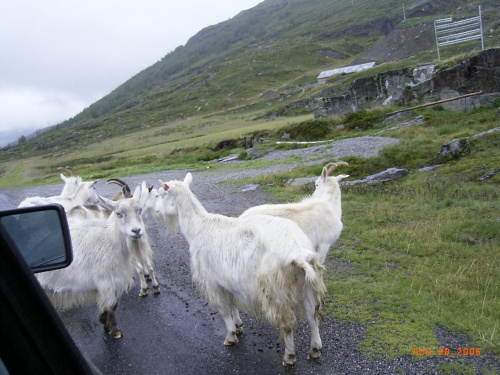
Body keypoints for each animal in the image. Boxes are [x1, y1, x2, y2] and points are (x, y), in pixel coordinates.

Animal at [36, 189, 146, 340]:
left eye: (140, 210)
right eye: (119, 214)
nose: (136, 230)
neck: (110, 242)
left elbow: (110, 305)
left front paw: (104, 322)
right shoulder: (106, 281)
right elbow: (112, 305)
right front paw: (114, 330)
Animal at [158, 173, 326, 368]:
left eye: (159, 194)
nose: (156, 212)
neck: (199, 228)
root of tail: (298, 253)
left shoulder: (211, 282)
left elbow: (223, 310)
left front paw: (230, 336)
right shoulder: (227, 280)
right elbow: (233, 303)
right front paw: (238, 326)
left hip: (277, 291)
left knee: (288, 323)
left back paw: (289, 356)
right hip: (307, 286)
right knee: (312, 316)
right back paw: (315, 350)